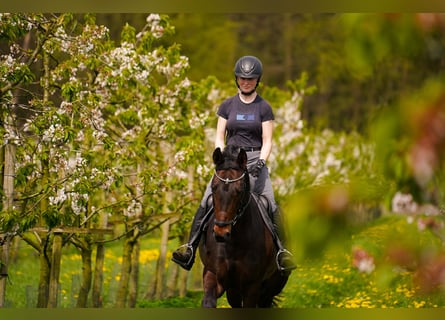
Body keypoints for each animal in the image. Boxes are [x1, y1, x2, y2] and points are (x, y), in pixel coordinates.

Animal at [198, 146, 288, 308]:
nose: (221, 233)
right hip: (234, 291)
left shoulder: (252, 287)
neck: (233, 243)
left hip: (271, 287)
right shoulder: (213, 275)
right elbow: (208, 301)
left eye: (239, 190)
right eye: (213, 187)